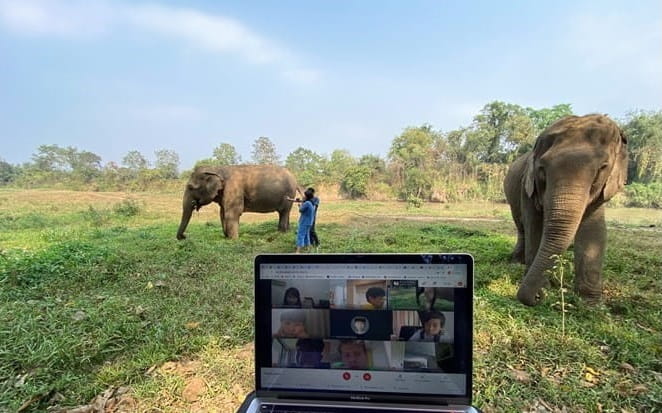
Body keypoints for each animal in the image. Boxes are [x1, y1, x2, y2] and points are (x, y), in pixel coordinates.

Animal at [504, 114, 628, 306]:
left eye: (603, 167)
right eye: (542, 169)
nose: (538, 297)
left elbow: (593, 229)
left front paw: (590, 303)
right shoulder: (527, 185)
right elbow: (534, 224)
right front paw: (544, 287)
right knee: (522, 227)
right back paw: (517, 262)